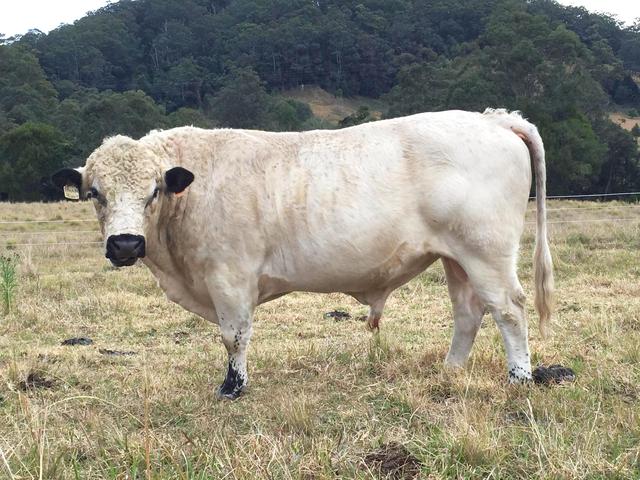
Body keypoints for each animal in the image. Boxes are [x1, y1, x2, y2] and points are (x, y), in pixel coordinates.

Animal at [52, 108, 554, 399]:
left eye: (153, 191)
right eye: (94, 193)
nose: (125, 244)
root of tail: (492, 118)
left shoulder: (229, 276)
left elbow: (234, 336)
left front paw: (232, 387)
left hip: (486, 252)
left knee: (509, 310)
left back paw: (520, 377)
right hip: (456, 258)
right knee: (469, 312)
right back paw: (450, 371)